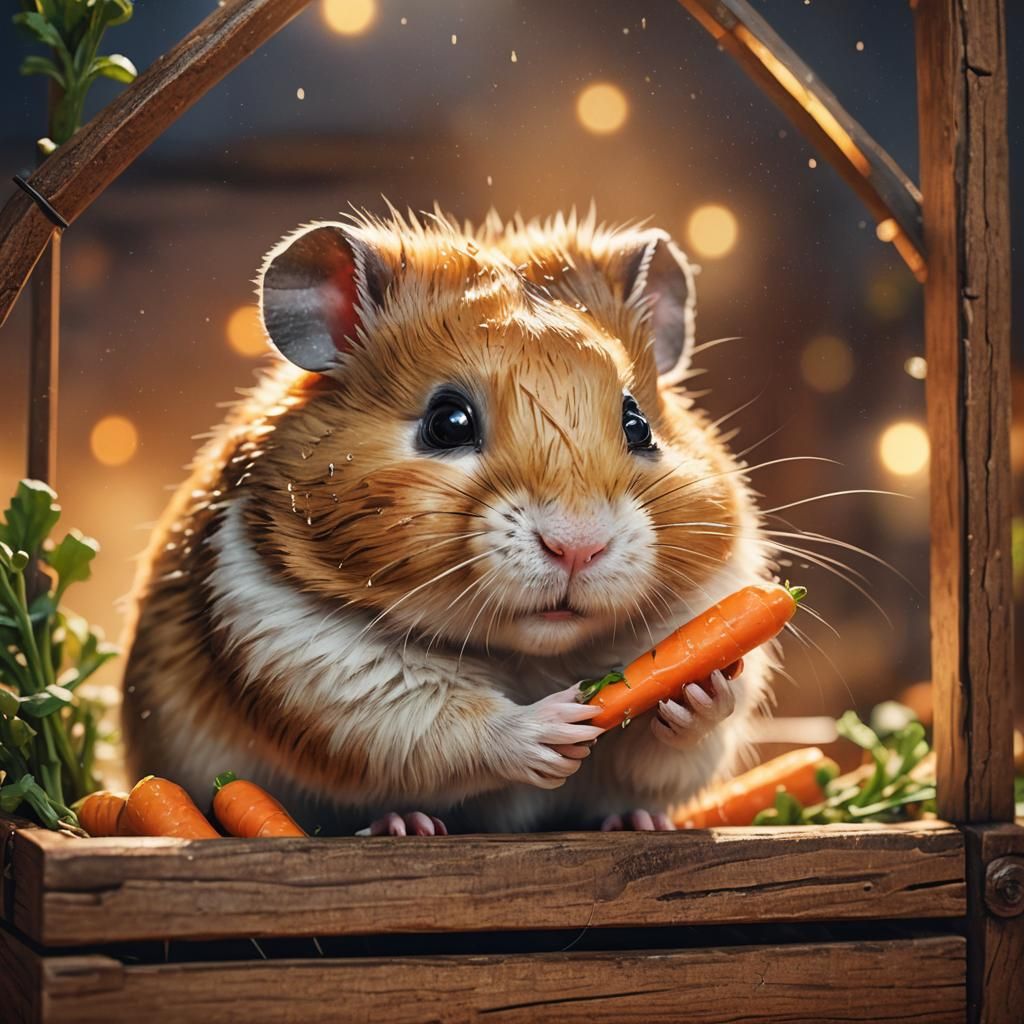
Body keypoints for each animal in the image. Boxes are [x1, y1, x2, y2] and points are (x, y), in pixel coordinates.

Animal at [121, 206, 773, 835]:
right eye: (448, 423)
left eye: (637, 425)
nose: (577, 547)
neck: (529, 657)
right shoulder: (307, 659)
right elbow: (439, 723)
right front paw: (557, 724)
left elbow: (676, 726)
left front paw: (702, 688)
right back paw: (405, 825)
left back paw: (638, 821)